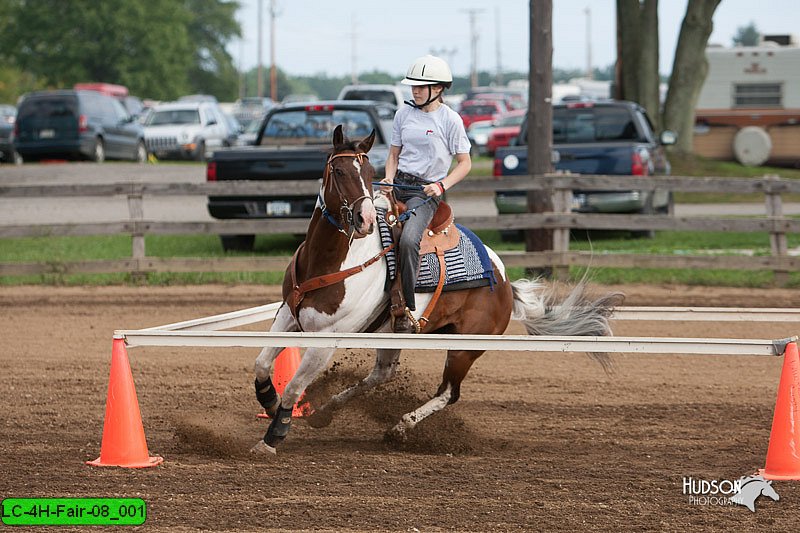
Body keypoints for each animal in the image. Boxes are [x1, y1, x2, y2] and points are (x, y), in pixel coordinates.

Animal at [253, 124, 620, 454]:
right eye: (339, 170)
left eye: (369, 172)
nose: (366, 219)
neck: (330, 261)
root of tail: (504, 282)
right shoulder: (287, 315)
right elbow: (261, 364)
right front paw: (269, 401)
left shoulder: (327, 340)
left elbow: (294, 386)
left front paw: (273, 437)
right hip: (393, 333)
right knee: (382, 374)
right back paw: (327, 411)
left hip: (464, 348)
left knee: (448, 392)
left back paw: (401, 427)